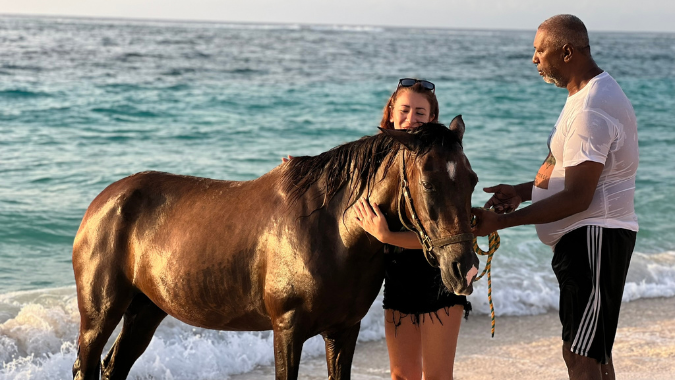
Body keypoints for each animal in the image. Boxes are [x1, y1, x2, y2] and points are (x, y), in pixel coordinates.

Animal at [72, 116, 480, 380]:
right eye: (427, 183)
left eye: (472, 180)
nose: (465, 268)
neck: (334, 232)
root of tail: (102, 201)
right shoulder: (287, 330)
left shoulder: (343, 331)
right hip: (99, 317)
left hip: (145, 310)